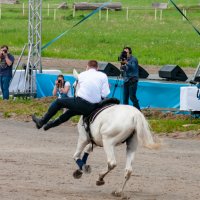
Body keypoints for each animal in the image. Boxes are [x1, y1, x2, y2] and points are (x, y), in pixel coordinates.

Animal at [72, 69, 159, 198]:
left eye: (74, 85)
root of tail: (135, 115)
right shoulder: (95, 141)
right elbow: (87, 150)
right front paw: (82, 168)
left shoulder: (84, 138)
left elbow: (76, 155)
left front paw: (80, 170)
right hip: (131, 145)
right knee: (128, 170)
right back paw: (118, 191)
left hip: (108, 142)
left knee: (112, 163)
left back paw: (100, 178)